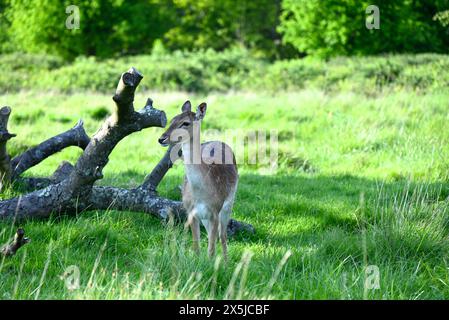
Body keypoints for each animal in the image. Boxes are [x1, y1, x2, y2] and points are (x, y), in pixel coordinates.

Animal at [158, 100, 238, 260]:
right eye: (172, 119)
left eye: (185, 123)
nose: (162, 138)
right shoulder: (191, 212)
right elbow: (196, 247)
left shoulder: (215, 210)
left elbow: (211, 249)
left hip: (228, 205)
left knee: (223, 235)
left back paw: (226, 261)